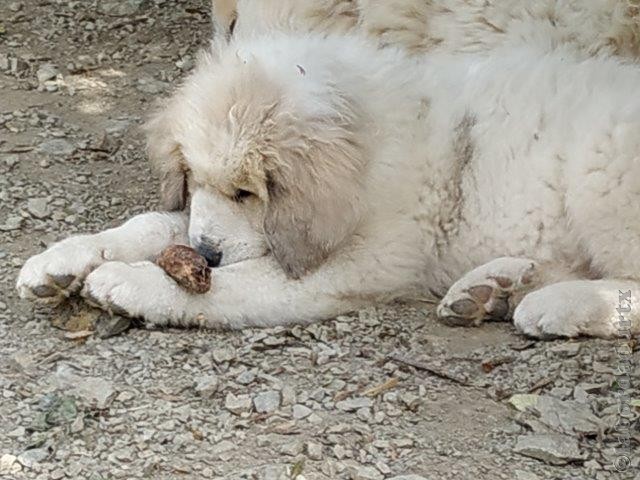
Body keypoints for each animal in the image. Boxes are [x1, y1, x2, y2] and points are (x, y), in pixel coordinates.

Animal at [16, 29, 640, 338]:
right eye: (193, 180)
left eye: (249, 193)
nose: (204, 255)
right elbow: (152, 224)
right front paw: (60, 261)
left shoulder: (360, 261)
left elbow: (240, 285)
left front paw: (132, 281)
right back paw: (493, 288)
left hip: (602, 173)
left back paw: (556, 305)